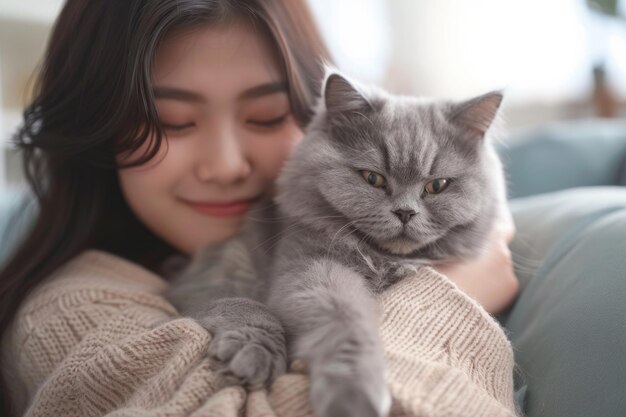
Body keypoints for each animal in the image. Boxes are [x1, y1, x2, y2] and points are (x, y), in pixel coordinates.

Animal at [166, 70, 508, 416]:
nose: (405, 212)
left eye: (437, 186)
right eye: (373, 178)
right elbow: (346, 324)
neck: (384, 259)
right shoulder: (314, 268)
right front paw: (353, 395)